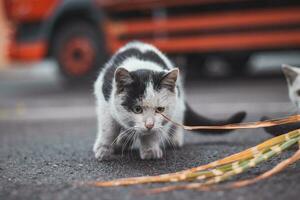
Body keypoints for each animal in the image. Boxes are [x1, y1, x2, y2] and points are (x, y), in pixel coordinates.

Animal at [93, 41, 246, 160]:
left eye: (160, 109)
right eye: (137, 109)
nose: (149, 125)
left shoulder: (166, 116)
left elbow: (155, 133)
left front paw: (150, 150)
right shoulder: (105, 102)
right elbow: (108, 128)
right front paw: (104, 149)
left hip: (178, 103)